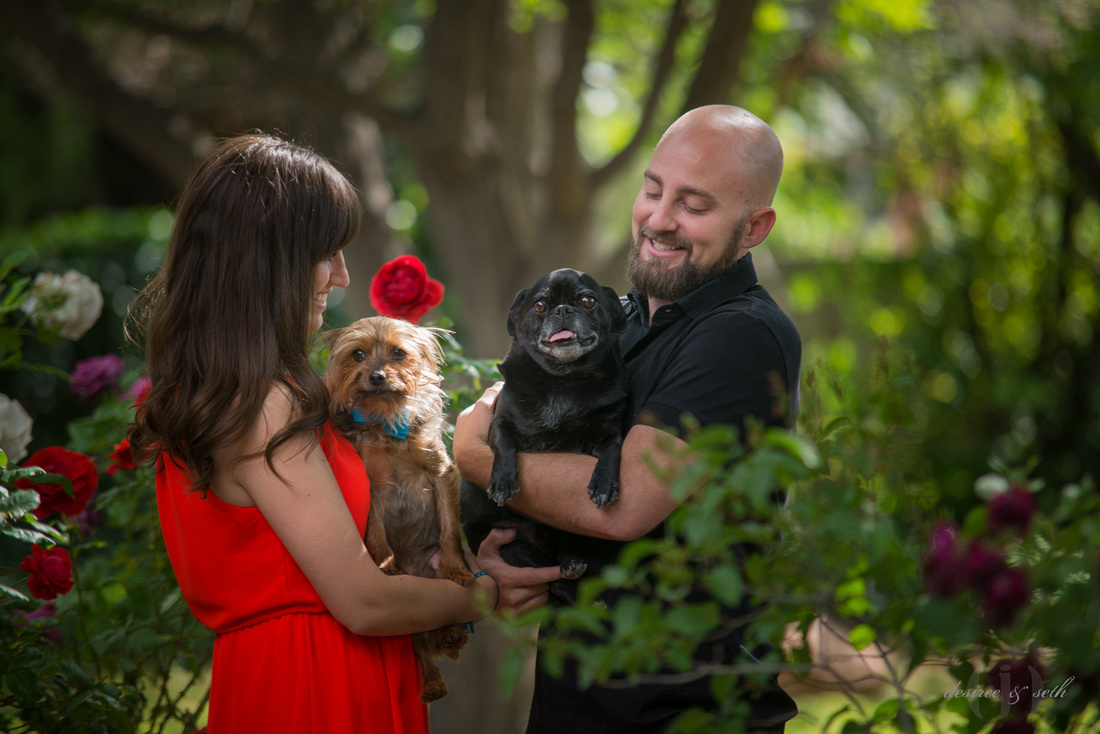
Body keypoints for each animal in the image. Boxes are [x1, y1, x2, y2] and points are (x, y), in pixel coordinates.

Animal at [325, 316, 473, 703]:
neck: (386, 419)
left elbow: (449, 530)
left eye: (398, 353)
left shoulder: (441, 473)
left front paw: (458, 570)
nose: (377, 376)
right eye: (358, 354)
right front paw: (386, 566)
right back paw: (433, 682)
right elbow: (377, 536)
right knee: (419, 645)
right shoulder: (373, 488)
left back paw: (453, 633)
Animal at [461, 268, 628, 604]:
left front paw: (604, 484)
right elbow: (504, 444)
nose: (562, 310)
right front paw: (502, 481)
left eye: (588, 301)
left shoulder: (609, 431)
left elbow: (612, 448)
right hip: (515, 547)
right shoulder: (500, 422)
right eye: (539, 306)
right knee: (555, 579)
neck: (564, 381)